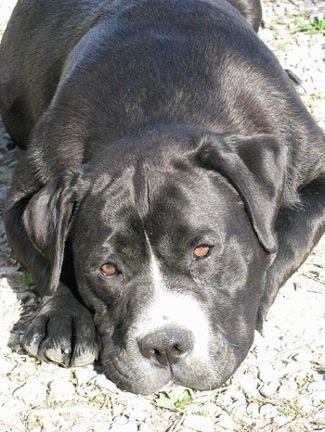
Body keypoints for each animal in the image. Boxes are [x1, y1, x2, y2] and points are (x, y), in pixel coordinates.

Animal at [0, 0, 324, 394]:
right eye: (107, 269)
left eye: (203, 250)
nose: (165, 345)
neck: (155, 107)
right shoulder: (24, 197)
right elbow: (51, 263)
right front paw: (64, 318)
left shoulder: (315, 170)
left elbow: (285, 242)